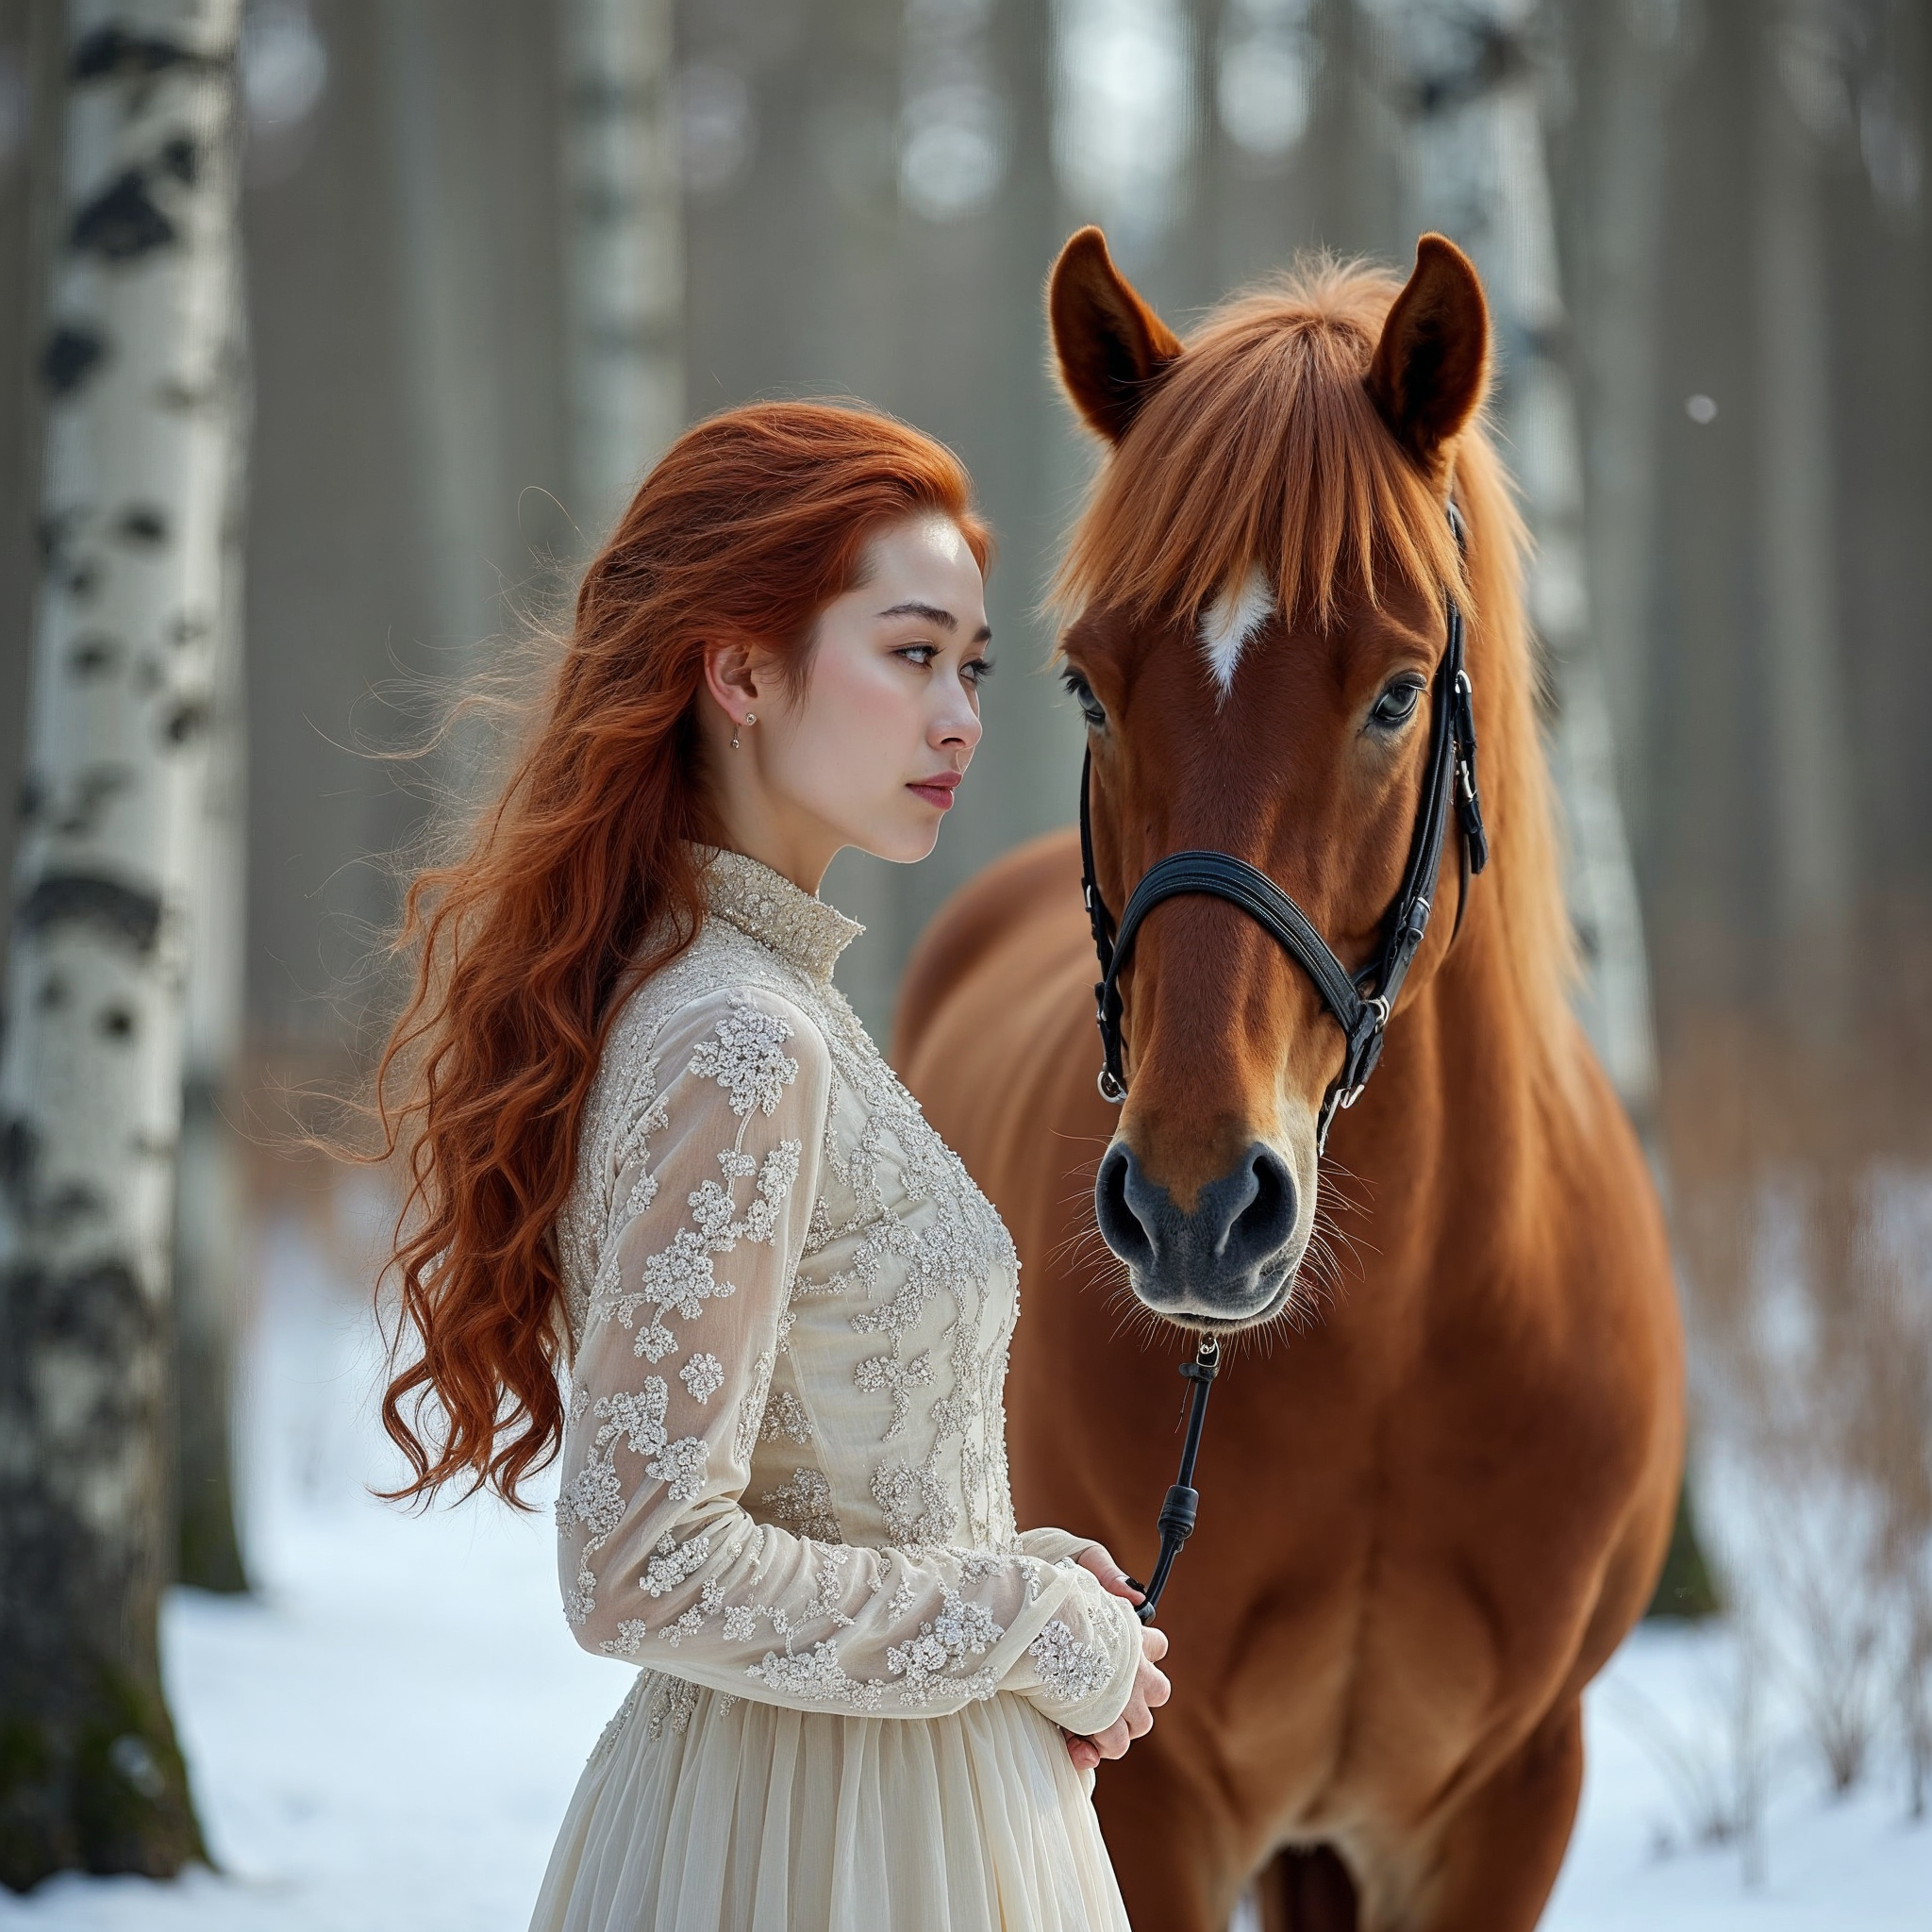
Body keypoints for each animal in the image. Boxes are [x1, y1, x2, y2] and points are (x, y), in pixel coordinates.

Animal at [895, 229, 1683, 1931]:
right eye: (1089, 685)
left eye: (1395, 691)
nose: (1197, 1206)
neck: (1394, 1348)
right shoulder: (1157, 1802)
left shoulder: (1511, 1803)